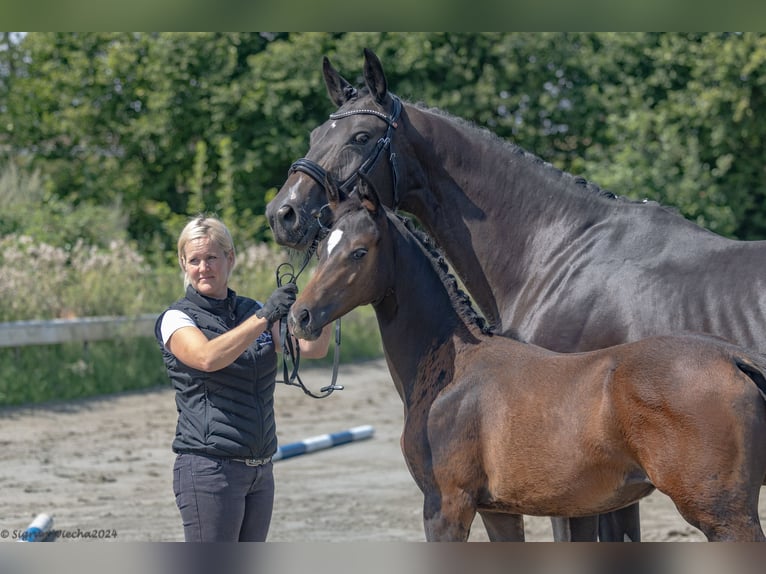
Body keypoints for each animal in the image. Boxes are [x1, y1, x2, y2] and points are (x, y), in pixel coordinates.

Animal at [266, 48, 766, 544]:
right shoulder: (503, 509)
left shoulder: (450, 507)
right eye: (315, 133)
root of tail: (735, 359)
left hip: (723, 516)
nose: (283, 213)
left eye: (361, 136)